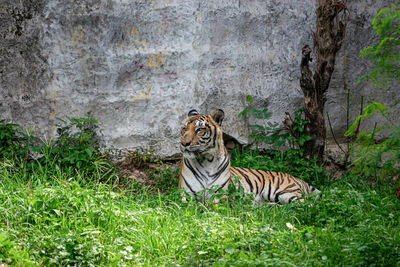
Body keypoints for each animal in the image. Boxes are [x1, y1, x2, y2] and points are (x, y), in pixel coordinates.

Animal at [178, 110, 318, 204]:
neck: (206, 160)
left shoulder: (219, 196)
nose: (184, 143)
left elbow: (208, 205)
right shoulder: (184, 194)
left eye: (199, 130)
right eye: (184, 129)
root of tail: (296, 178)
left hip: (287, 193)